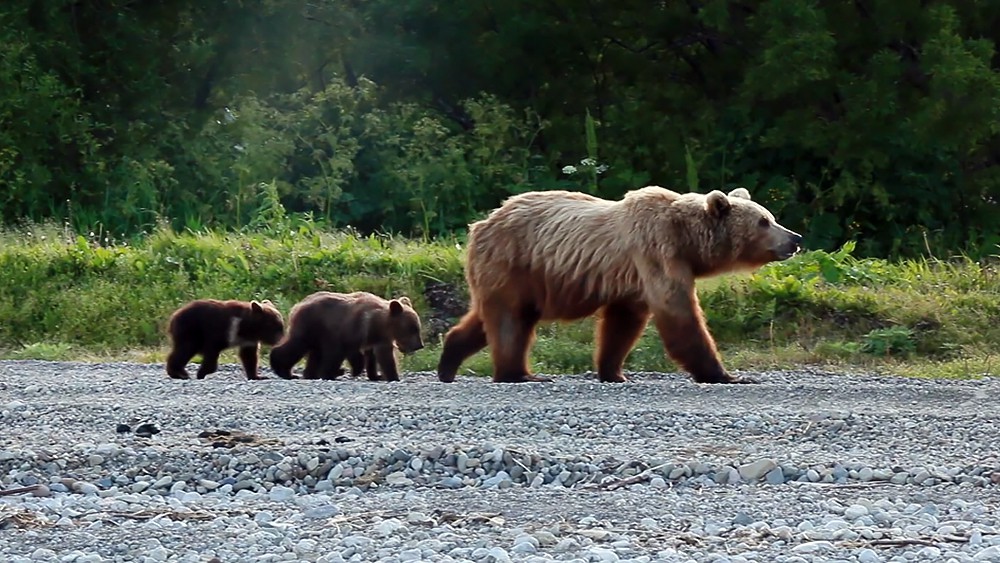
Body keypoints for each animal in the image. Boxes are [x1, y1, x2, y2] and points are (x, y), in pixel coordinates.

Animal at [438, 187, 804, 386]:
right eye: (764, 221)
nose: (795, 238)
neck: (687, 242)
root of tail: (481, 223)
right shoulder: (655, 252)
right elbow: (678, 313)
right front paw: (725, 373)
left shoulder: (633, 282)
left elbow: (623, 323)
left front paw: (614, 371)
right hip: (515, 262)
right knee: (511, 322)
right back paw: (520, 373)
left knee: (491, 318)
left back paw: (449, 360)